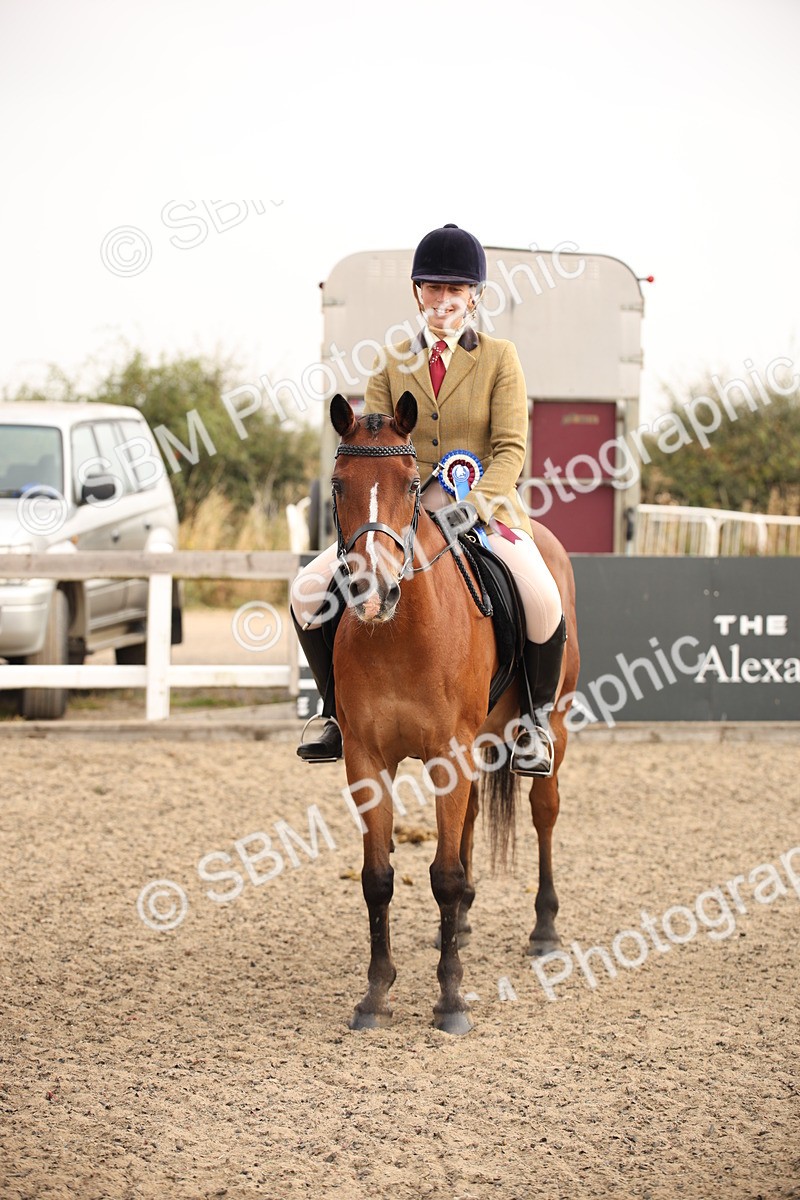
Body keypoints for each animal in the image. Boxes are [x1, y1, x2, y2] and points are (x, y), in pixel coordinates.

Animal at [327, 391, 580, 1034]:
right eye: (338, 484)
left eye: (412, 483)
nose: (371, 591)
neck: (398, 633)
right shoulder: (367, 760)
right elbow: (377, 878)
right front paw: (375, 994)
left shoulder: (448, 754)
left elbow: (442, 875)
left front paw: (450, 1000)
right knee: (467, 824)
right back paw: (462, 926)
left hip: (552, 725)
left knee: (544, 812)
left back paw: (545, 929)